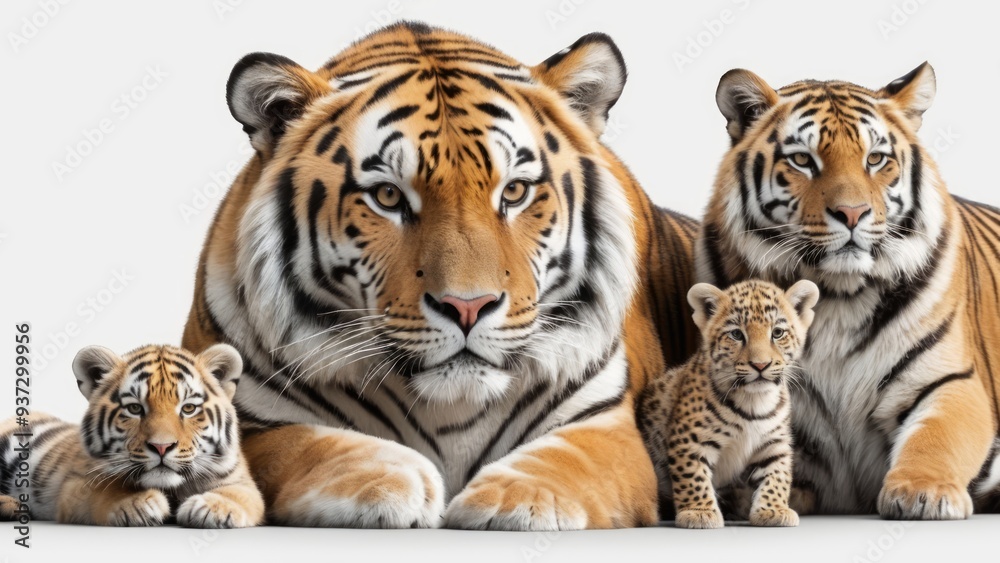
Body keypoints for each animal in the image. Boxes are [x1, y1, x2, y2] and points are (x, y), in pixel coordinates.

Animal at [0, 344, 264, 528]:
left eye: (188, 408)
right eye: (135, 408)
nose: (161, 447)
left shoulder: (241, 481)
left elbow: (241, 495)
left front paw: (211, 508)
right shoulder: (76, 485)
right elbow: (108, 489)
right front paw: (139, 503)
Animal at [180, 21, 698, 529]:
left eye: (515, 192)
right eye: (388, 196)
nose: (467, 307)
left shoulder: (606, 424)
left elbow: (569, 461)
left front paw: (515, 499)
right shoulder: (252, 420)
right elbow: (307, 445)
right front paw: (392, 480)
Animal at [639, 279, 819, 529]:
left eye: (777, 333)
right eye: (736, 334)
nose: (760, 365)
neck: (754, 400)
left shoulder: (774, 442)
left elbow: (777, 476)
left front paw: (773, 509)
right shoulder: (689, 440)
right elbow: (692, 477)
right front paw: (699, 512)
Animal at [694, 62, 1000, 518]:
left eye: (875, 159)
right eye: (802, 160)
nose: (853, 213)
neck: (837, 295)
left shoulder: (948, 379)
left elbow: (938, 435)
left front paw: (923, 493)